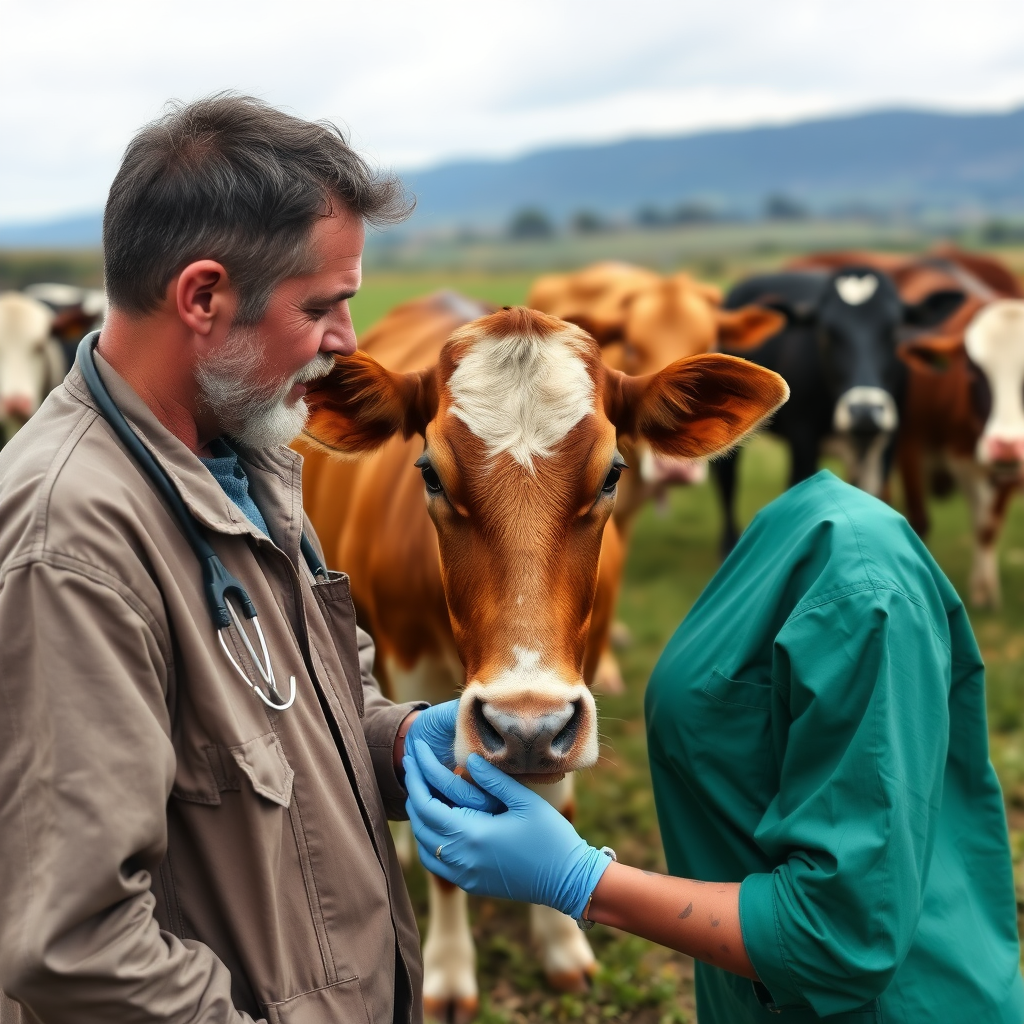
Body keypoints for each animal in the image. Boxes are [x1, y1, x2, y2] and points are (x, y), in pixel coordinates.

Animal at [299, 301, 786, 1015]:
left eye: (612, 473)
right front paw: (449, 972)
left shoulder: (574, 685)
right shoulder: (411, 660)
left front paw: (561, 944)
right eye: (430, 473)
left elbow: (558, 810)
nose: (522, 723)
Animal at [712, 264, 958, 552]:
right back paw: (729, 542)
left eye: (894, 331)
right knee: (727, 479)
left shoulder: (888, 440)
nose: (864, 413)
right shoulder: (803, 438)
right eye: (827, 332)